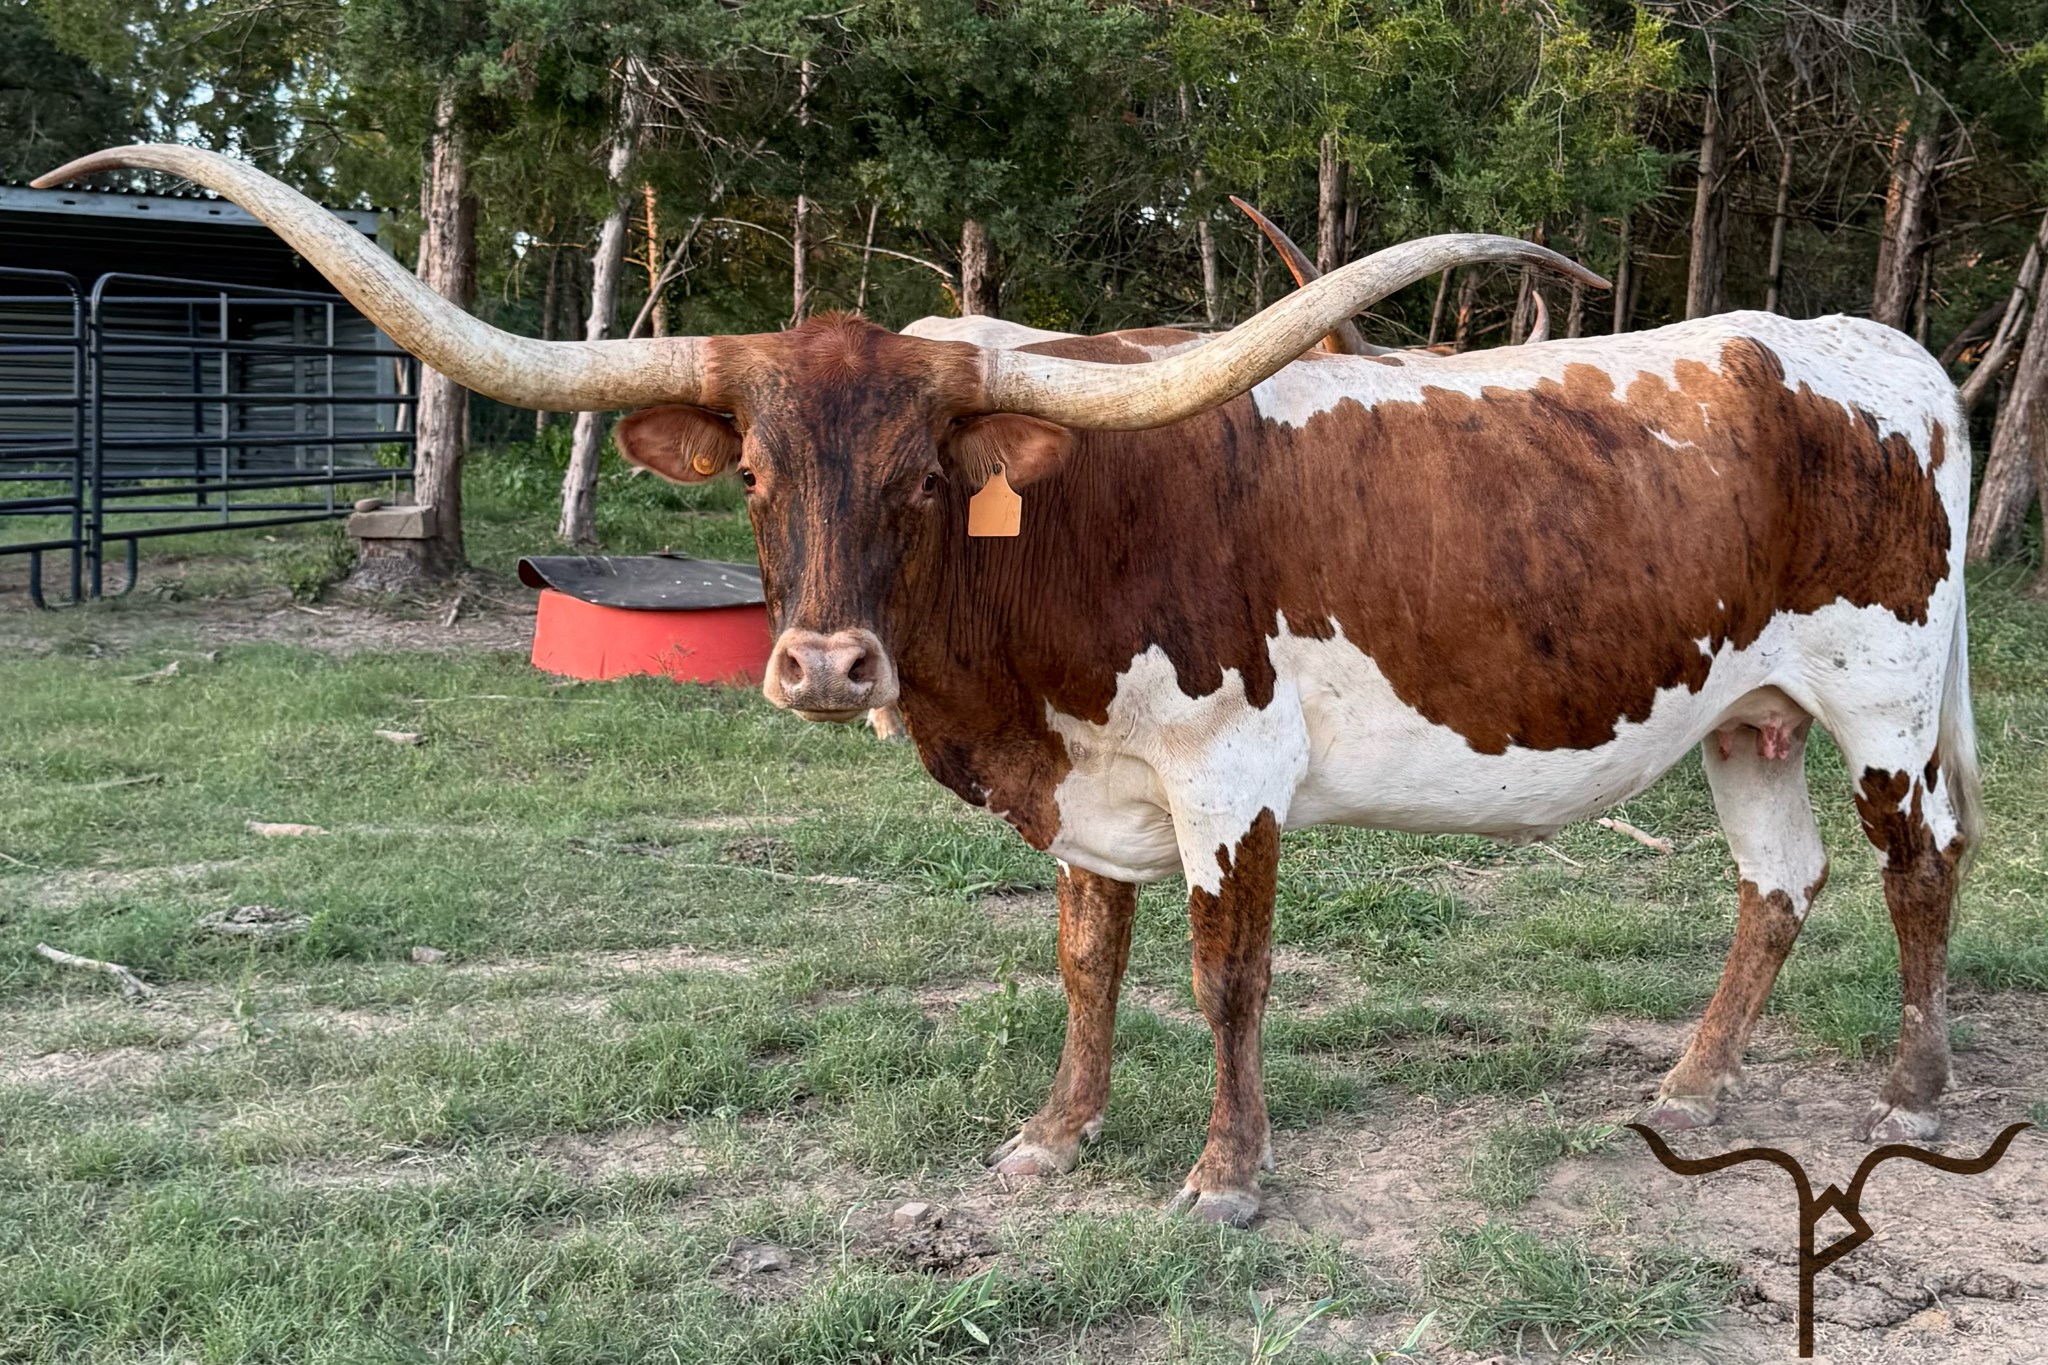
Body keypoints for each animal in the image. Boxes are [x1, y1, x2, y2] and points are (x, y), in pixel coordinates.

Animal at [42, 145, 1980, 1227]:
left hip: (1882, 704)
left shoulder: (1225, 776)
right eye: (758, 473)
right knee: (1778, 884)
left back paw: (1906, 1091)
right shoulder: (1088, 791)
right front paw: (1054, 1139)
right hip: (1742, 716)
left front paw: (1223, 1177)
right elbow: (1082, 967)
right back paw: (1689, 1086)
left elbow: (1220, 978)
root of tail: (1884, 353)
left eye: (918, 477)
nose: (826, 663)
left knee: (1920, 870)